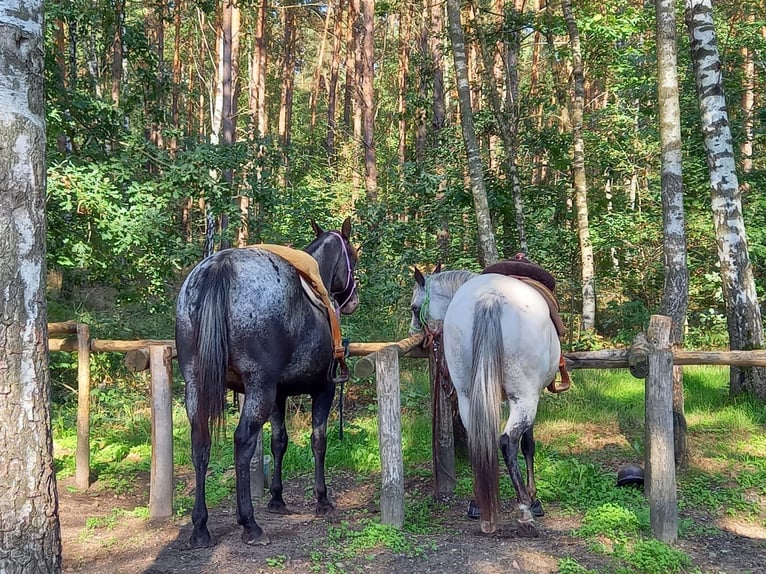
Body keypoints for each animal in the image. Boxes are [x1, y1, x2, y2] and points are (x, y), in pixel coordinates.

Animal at [177, 218, 360, 548]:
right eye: (353, 256)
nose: (353, 300)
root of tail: (220, 266)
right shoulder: (322, 390)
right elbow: (318, 441)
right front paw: (322, 499)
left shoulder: (278, 396)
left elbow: (279, 442)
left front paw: (277, 498)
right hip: (259, 387)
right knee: (242, 441)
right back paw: (249, 524)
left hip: (195, 384)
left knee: (201, 442)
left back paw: (200, 526)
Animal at [412, 268, 560, 536]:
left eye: (414, 308)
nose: (414, 334)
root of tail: (489, 296)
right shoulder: (532, 396)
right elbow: (528, 445)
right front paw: (534, 497)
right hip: (524, 397)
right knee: (507, 441)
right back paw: (524, 512)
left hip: (468, 397)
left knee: (480, 440)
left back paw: (483, 507)